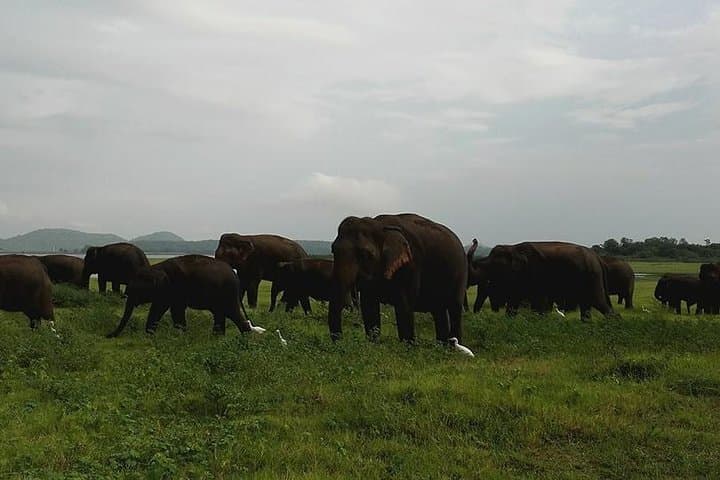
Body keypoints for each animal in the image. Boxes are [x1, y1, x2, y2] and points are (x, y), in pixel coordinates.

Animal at [107, 255, 262, 338]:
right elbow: (159, 309)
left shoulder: (174, 288)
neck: (156, 268)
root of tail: (234, 274)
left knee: (230, 312)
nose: (108, 335)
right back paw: (217, 338)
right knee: (220, 313)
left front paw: (179, 335)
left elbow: (169, 309)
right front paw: (151, 335)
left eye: (136, 290)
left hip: (227, 292)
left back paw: (244, 339)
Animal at [328, 213, 468, 343]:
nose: (340, 341)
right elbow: (369, 306)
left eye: (364, 254)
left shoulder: (410, 265)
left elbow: (404, 307)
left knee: (454, 308)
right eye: (333, 250)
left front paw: (407, 348)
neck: (380, 226)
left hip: (460, 272)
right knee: (439, 311)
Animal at [480, 241, 614, 320]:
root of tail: (597, 257)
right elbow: (514, 300)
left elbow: (538, 302)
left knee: (598, 302)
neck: (512, 248)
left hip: (591, 276)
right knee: (587, 305)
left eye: (494, 266)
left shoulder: (535, 272)